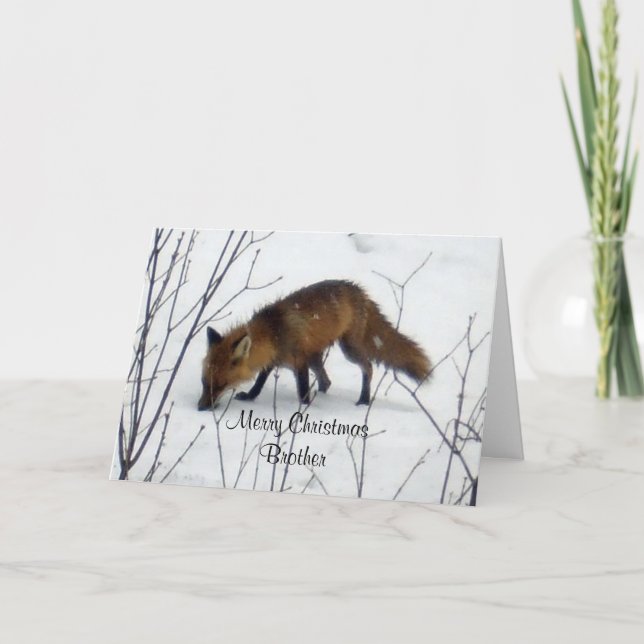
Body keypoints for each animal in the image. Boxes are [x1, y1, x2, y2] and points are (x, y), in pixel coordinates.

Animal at [197, 279, 431, 410]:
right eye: (204, 382)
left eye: (220, 385)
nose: (200, 408)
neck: (274, 333)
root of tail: (359, 291)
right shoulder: (274, 360)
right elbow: (260, 382)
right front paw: (250, 396)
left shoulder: (299, 361)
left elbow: (302, 390)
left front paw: (305, 409)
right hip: (316, 356)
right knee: (326, 381)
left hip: (348, 350)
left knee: (368, 367)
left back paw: (364, 400)